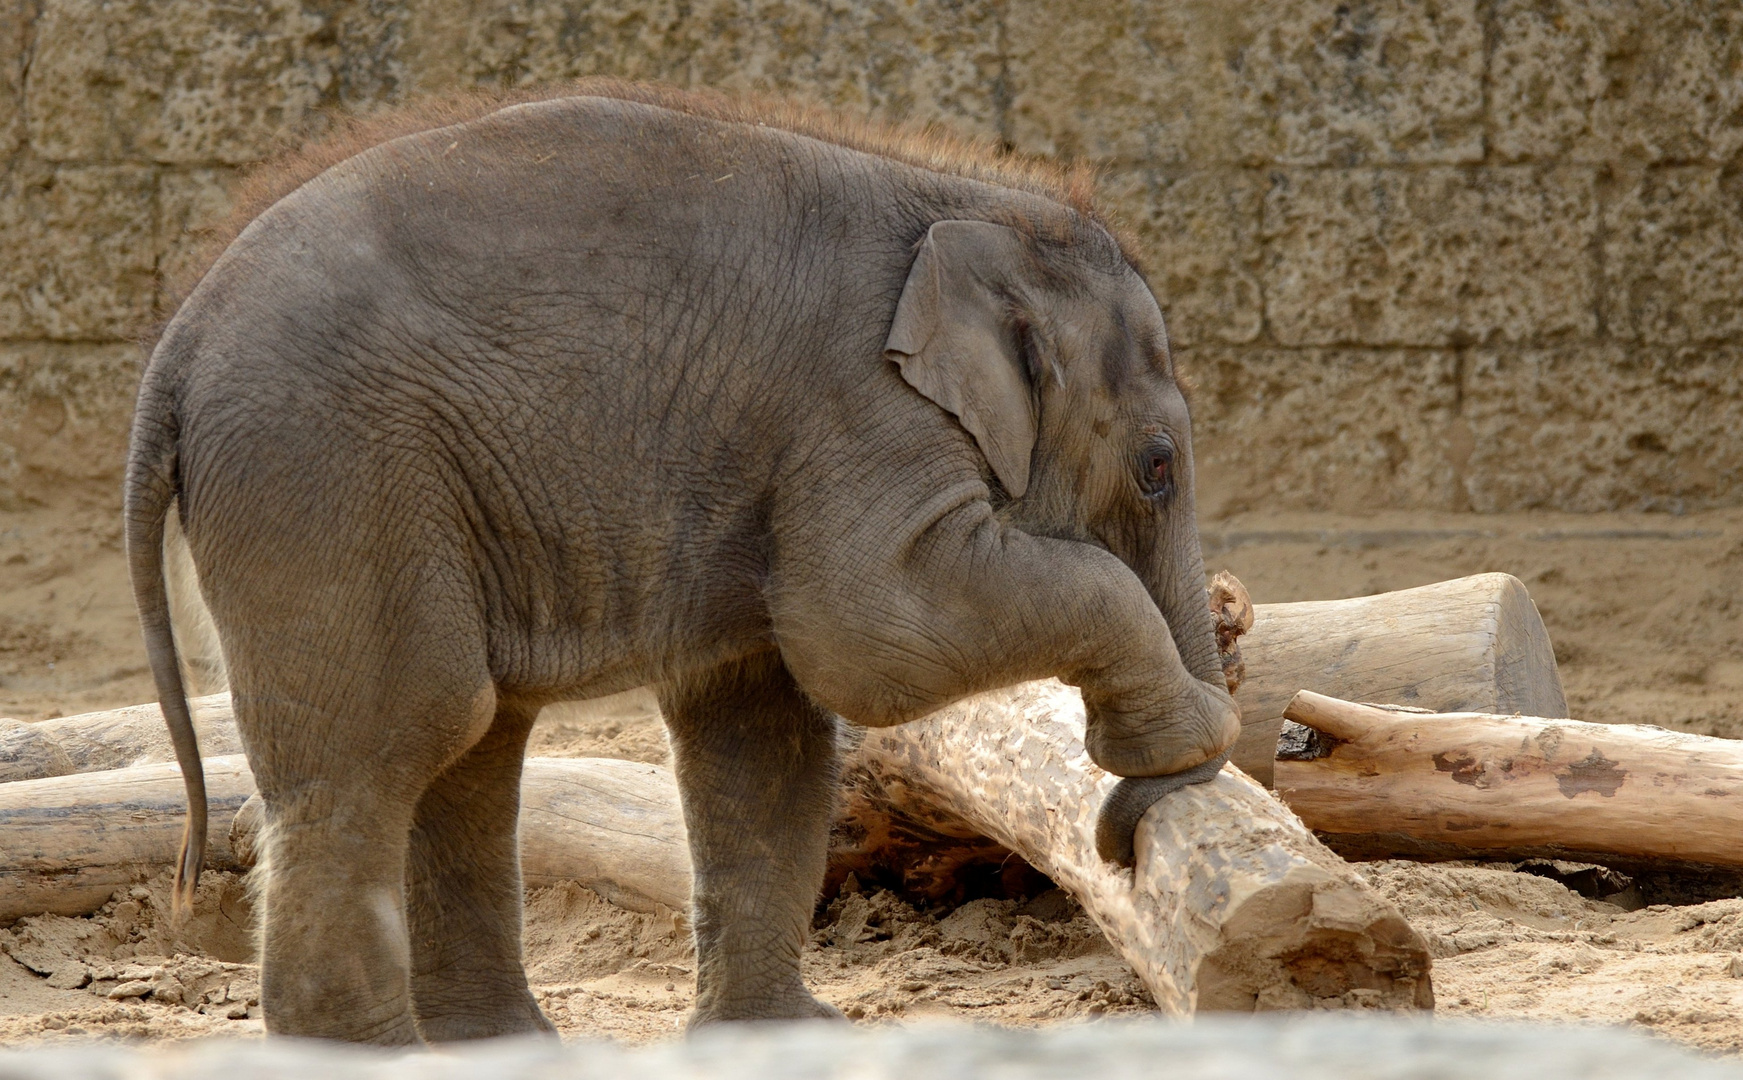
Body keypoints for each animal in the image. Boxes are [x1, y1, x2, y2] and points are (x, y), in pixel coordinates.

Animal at [126, 84, 1241, 1045]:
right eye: (1157, 468)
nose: (1116, 843)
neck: (975, 205)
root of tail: (174, 348)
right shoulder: (858, 413)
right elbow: (873, 641)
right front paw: (1192, 728)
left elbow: (761, 730)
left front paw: (783, 1035)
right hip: (331, 473)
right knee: (390, 746)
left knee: (467, 748)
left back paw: (504, 1045)